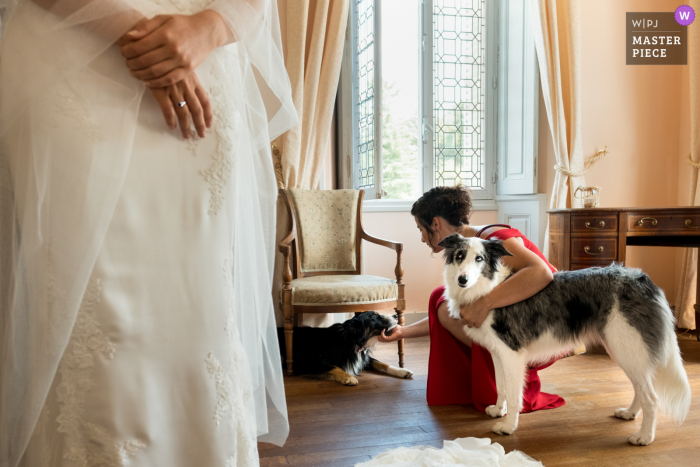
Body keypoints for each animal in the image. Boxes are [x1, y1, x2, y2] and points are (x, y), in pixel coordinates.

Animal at [278, 312, 410, 386]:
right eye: (375, 316)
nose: (396, 315)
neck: (352, 340)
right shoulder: (308, 362)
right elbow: (334, 367)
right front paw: (348, 377)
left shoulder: (363, 357)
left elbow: (381, 363)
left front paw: (402, 371)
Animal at [440, 234, 692, 446]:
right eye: (459, 256)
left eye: (479, 259)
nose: (462, 279)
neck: (487, 289)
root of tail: (643, 280)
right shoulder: (498, 352)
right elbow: (501, 386)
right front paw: (498, 410)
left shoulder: (512, 354)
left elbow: (513, 394)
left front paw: (508, 426)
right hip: (623, 349)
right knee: (641, 388)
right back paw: (629, 414)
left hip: (626, 347)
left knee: (651, 397)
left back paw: (644, 437)